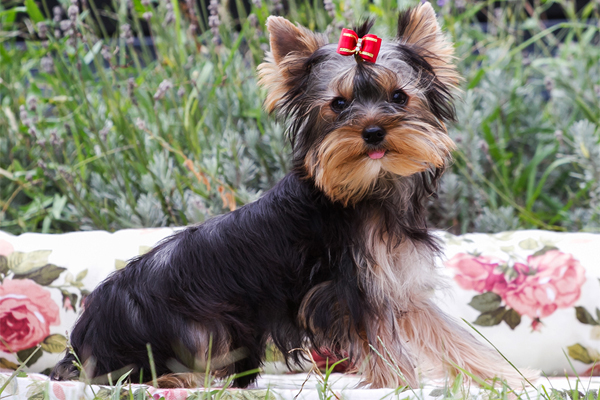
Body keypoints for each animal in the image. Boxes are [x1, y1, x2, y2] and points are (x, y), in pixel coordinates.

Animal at [50, 3, 528, 390]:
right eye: (338, 104)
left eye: (399, 96)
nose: (373, 131)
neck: (369, 190)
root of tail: (80, 341)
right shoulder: (350, 290)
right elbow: (380, 342)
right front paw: (400, 383)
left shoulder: (395, 283)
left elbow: (450, 334)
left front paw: (506, 377)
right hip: (200, 329)